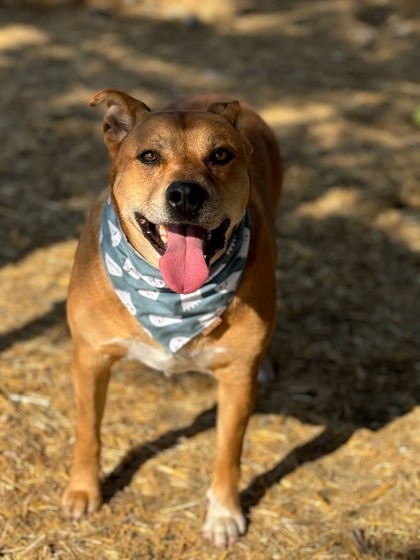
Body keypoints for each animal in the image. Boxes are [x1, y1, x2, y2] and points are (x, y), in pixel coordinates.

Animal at [62, 89, 282, 548]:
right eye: (148, 156)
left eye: (220, 155)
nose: (185, 194)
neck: (170, 300)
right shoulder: (90, 358)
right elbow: (89, 430)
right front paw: (83, 490)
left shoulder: (236, 379)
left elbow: (228, 451)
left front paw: (224, 513)